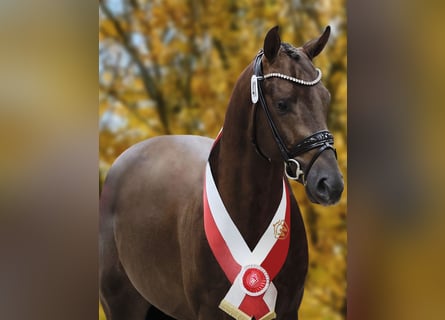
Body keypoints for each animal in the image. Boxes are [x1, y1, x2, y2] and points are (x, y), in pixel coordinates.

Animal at [100, 25, 344, 320]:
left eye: (325, 98)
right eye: (283, 103)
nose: (330, 183)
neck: (248, 213)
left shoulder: (289, 310)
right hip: (121, 303)